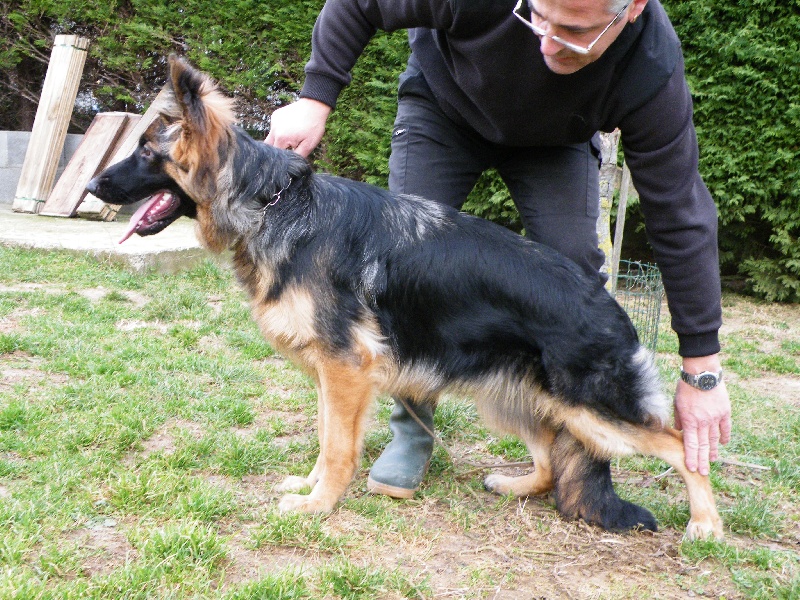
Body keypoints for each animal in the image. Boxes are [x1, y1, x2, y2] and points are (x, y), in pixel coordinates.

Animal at [87, 56, 724, 540]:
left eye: (147, 153)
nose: (92, 185)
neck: (274, 204)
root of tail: (610, 303)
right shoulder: (331, 373)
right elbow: (325, 437)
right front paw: (311, 487)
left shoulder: (345, 369)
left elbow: (338, 447)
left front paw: (319, 505)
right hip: (521, 398)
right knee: (549, 457)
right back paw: (515, 484)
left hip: (592, 410)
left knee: (679, 446)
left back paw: (706, 524)